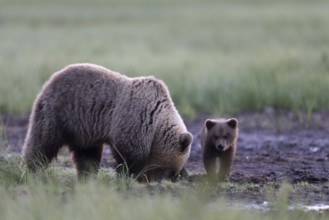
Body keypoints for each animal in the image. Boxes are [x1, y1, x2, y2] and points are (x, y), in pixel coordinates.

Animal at [22, 62, 192, 181]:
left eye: (175, 171)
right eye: (170, 170)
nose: (164, 180)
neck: (156, 125)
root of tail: (50, 80)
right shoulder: (135, 120)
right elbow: (129, 154)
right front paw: (130, 175)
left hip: (83, 129)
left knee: (87, 154)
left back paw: (87, 176)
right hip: (58, 113)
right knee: (43, 141)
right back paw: (32, 169)